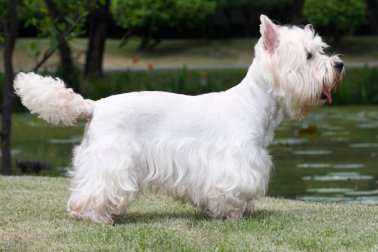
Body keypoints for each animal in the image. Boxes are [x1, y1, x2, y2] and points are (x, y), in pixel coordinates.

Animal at [14, 15, 342, 224]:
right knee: (94, 190)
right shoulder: (234, 163)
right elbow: (232, 191)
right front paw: (233, 214)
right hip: (112, 159)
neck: (253, 102)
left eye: (320, 50)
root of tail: (95, 105)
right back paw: (96, 217)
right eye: (309, 55)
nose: (339, 65)